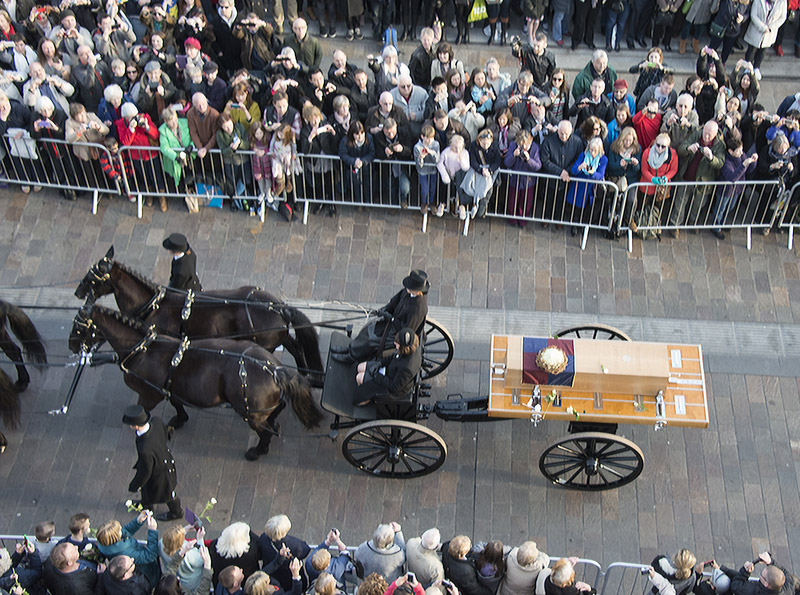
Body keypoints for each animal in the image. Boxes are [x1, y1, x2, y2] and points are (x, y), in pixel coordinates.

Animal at [69, 302, 324, 460]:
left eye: (79, 327)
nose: (71, 346)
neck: (144, 349)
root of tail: (272, 368)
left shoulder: (148, 395)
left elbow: (145, 415)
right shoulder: (169, 388)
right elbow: (176, 403)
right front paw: (178, 421)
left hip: (248, 412)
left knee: (265, 431)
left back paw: (256, 451)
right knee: (277, 409)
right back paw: (273, 424)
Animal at [74, 246, 324, 388]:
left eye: (93, 276)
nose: (77, 292)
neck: (154, 305)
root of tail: (277, 307)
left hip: (266, 345)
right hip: (278, 337)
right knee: (296, 347)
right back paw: (306, 374)